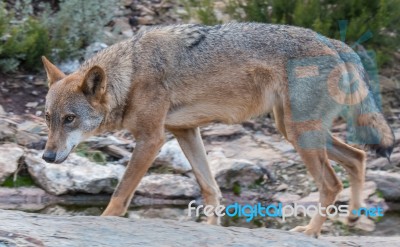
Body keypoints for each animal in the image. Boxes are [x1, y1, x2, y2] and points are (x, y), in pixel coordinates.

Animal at [41, 23, 394, 237]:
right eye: (47, 118)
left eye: (69, 119)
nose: (46, 157)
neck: (130, 74)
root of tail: (335, 43)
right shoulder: (185, 132)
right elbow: (211, 189)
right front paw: (212, 229)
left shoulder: (151, 140)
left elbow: (120, 194)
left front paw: (104, 222)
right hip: (296, 132)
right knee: (359, 157)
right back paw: (351, 217)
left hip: (300, 135)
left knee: (332, 183)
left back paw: (309, 232)